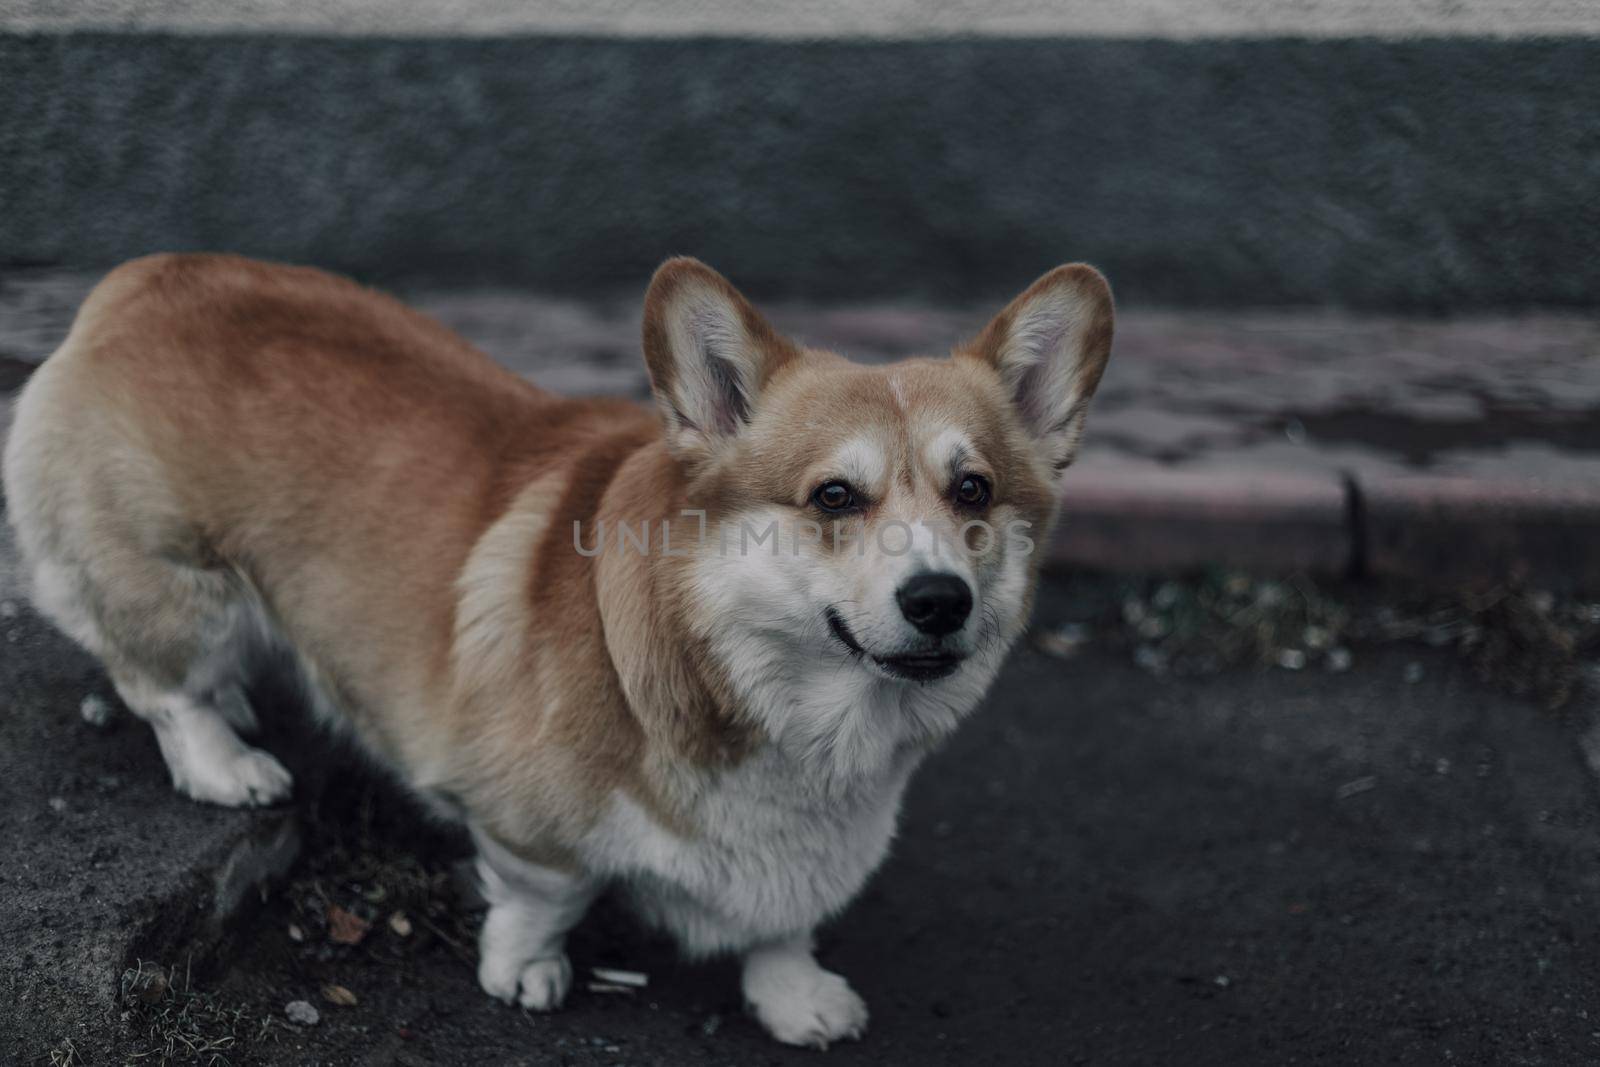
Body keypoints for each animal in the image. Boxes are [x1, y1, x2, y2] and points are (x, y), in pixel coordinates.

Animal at [6, 254, 1113, 1049]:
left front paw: (795, 995)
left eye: (972, 490)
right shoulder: (527, 824)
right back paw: (227, 759)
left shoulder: (812, 852)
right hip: (177, 581)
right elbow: (548, 895)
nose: (938, 600)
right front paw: (526, 971)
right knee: (163, 682)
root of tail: (140, 277)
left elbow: (785, 922)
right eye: (834, 496)